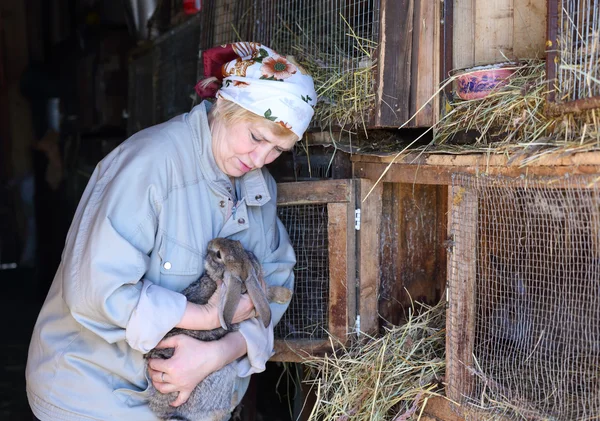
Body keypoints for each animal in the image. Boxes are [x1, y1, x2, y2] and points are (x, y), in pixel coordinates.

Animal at [146, 236, 294, 420]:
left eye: (238, 245)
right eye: (219, 253)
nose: (211, 242)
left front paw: (286, 294)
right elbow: (267, 293)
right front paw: (286, 294)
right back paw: (234, 400)